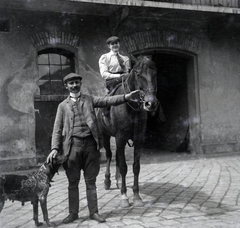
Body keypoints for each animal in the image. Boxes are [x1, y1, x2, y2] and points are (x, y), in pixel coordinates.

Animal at [96, 54, 158, 207]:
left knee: (118, 157)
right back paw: (108, 181)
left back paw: (118, 181)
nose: (151, 103)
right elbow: (124, 166)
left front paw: (136, 196)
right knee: (109, 155)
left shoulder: (138, 139)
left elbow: (136, 166)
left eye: (155, 73)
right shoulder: (120, 138)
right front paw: (124, 196)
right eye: (138, 74)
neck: (131, 107)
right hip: (105, 136)